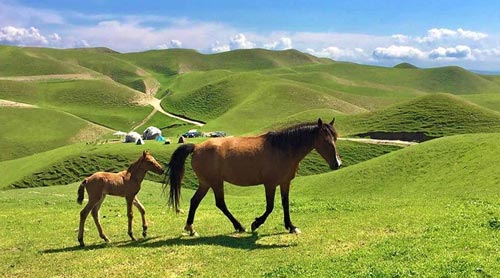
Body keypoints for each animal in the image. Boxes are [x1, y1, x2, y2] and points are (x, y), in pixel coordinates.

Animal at [164, 117, 340, 235]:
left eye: (335, 138)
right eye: (325, 140)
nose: (337, 163)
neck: (282, 149)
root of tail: (196, 147)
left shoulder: (285, 182)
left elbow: (285, 204)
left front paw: (291, 226)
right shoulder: (270, 184)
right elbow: (270, 207)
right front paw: (256, 223)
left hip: (205, 183)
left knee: (195, 201)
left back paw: (191, 229)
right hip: (215, 182)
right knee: (220, 203)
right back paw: (239, 226)